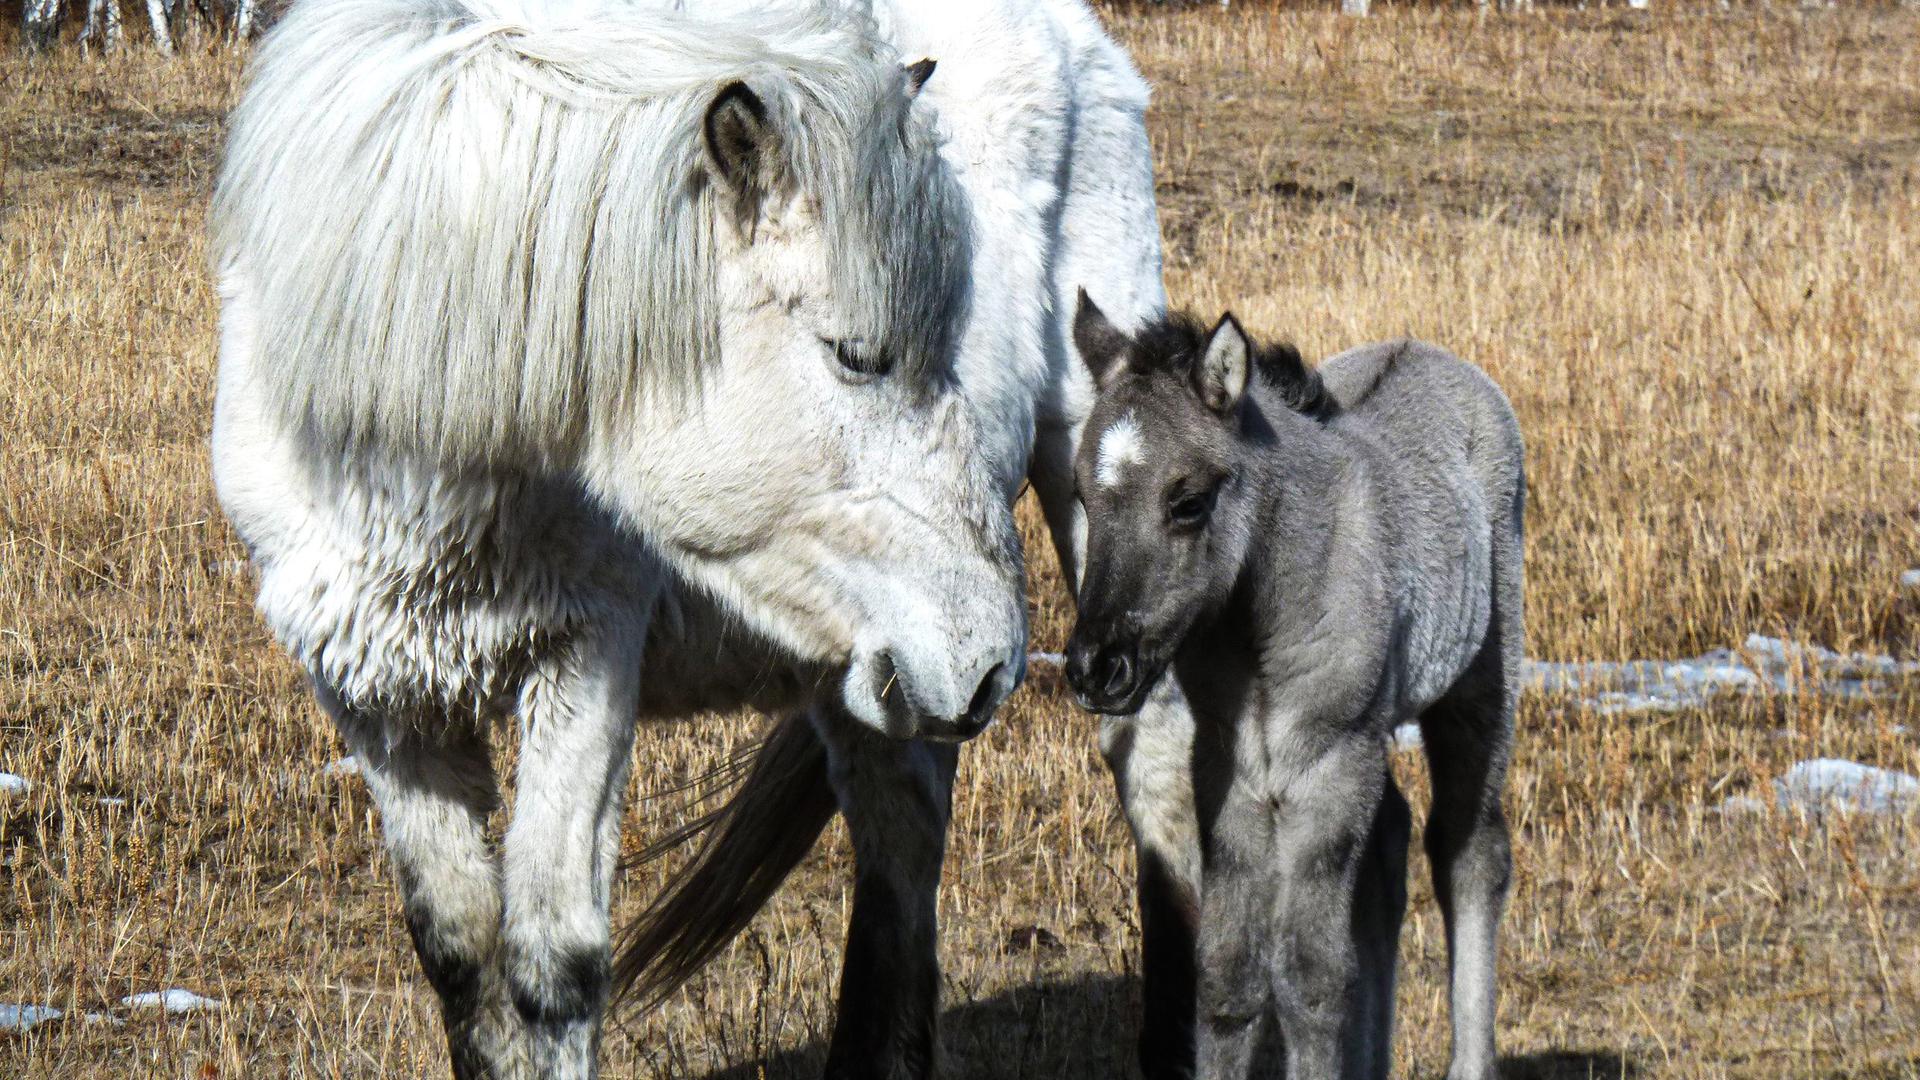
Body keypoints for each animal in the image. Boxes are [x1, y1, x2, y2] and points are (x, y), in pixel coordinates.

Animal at [208, 0, 1033, 1073]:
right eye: (857, 355)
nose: (992, 662)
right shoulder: (374, 697)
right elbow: (461, 957)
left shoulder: (584, 664)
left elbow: (553, 966)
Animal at [1063, 297, 1524, 1080]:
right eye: (1083, 497)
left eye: (1188, 502)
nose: (1097, 667)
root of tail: (1433, 353)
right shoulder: (1227, 772)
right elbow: (1225, 974)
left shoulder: (1329, 767)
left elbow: (1312, 979)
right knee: (1388, 848)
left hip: (1480, 680)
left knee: (1470, 850)